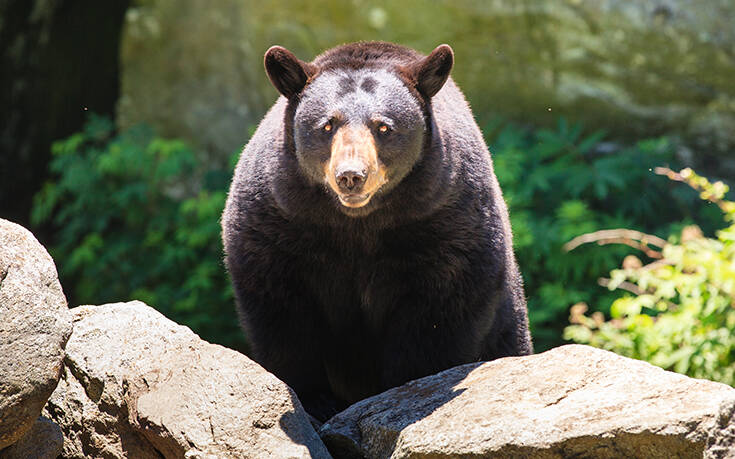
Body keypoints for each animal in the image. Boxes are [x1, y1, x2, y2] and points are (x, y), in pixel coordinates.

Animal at [221, 41, 532, 422]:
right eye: (327, 125)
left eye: (383, 127)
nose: (351, 175)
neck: (359, 221)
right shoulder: (277, 216)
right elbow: (279, 304)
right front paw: (313, 398)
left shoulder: (447, 215)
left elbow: (442, 306)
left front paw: (405, 390)